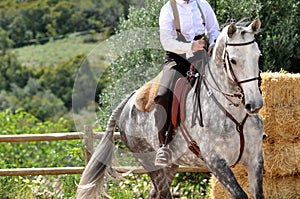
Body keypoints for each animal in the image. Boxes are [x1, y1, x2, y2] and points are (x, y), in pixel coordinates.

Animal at [75, 17, 264, 198]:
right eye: (233, 60)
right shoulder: (216, 161)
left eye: (258, 56)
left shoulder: (255, 159)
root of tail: (128, 101)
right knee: (163, 193)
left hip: (171, 164)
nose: (255, 104)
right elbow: (240, 194)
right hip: (149, 160)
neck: (233, 113)